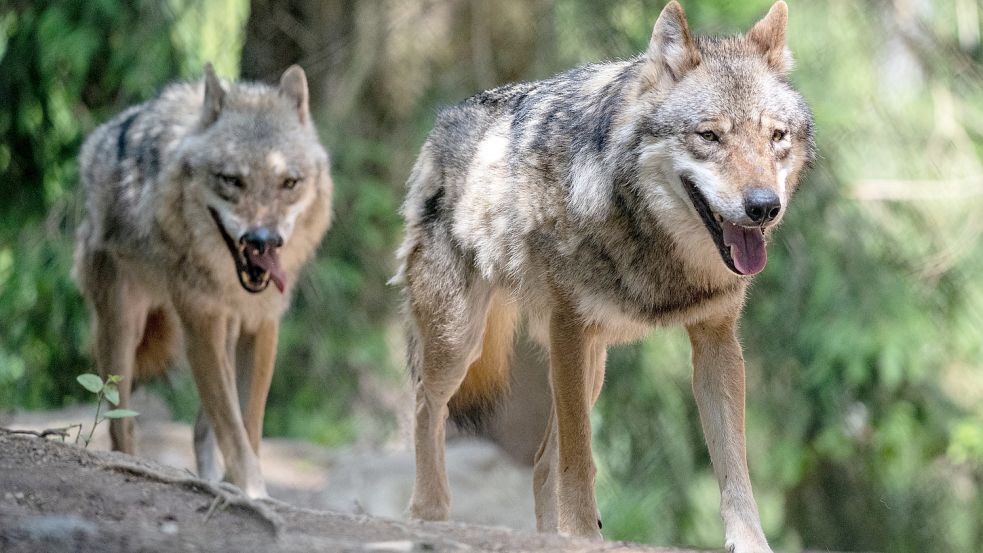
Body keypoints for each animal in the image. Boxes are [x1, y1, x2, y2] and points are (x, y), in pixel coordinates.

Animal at [74, 63, 334, 496]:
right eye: (231, 180)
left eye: (289, 183)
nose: (262, 240)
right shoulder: (201, 321)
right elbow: (232, 427)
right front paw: (251, 490)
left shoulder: (262, 324)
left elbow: (249, 423)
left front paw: (241, 486)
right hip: (122, 330)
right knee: (121, 423)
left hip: (223, 333)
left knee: (199, 427)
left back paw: (212, 479)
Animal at [396, 2, 820, 548]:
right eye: (709, 136)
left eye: (776, 137)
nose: (764, 206)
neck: (652, 239)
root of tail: (447, 117)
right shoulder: (570, 332)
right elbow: (580, 461)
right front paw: (582, 535)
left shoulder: (717, 341)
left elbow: (735, 468)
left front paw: (749, 543)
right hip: (460, 342)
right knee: (427, 408)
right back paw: (429, 513)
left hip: (590, 364)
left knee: (540, 463)